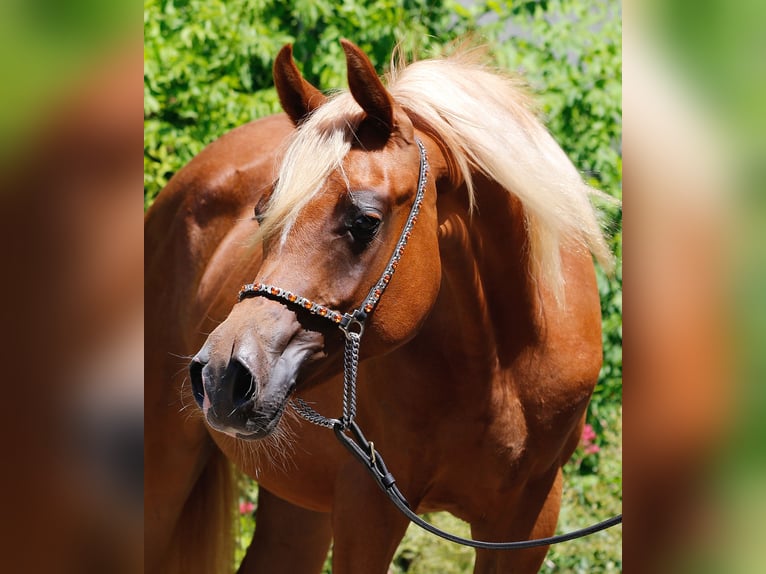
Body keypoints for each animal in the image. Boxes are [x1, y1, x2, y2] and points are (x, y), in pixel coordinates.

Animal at [145, 39, 614, 574]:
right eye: (262, 215)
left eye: (365, 221)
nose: (223, 376)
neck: (503, 367)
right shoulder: (367, 507)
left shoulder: (528, 521)